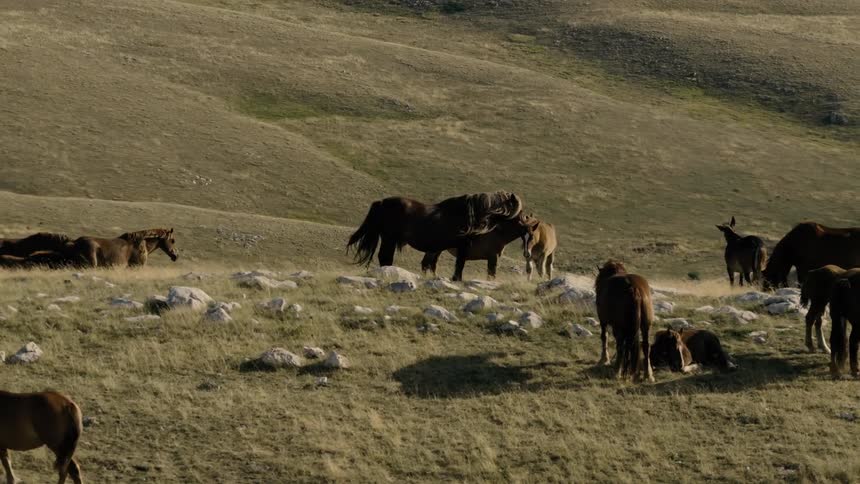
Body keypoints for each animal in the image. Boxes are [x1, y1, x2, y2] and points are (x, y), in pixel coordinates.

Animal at [347, 192, 524, 281]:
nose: (524, 219)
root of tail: (382, 202)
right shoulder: (463, 246)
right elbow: (460, 264)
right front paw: (456, 279)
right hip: (389, 238)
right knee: (385, 257)